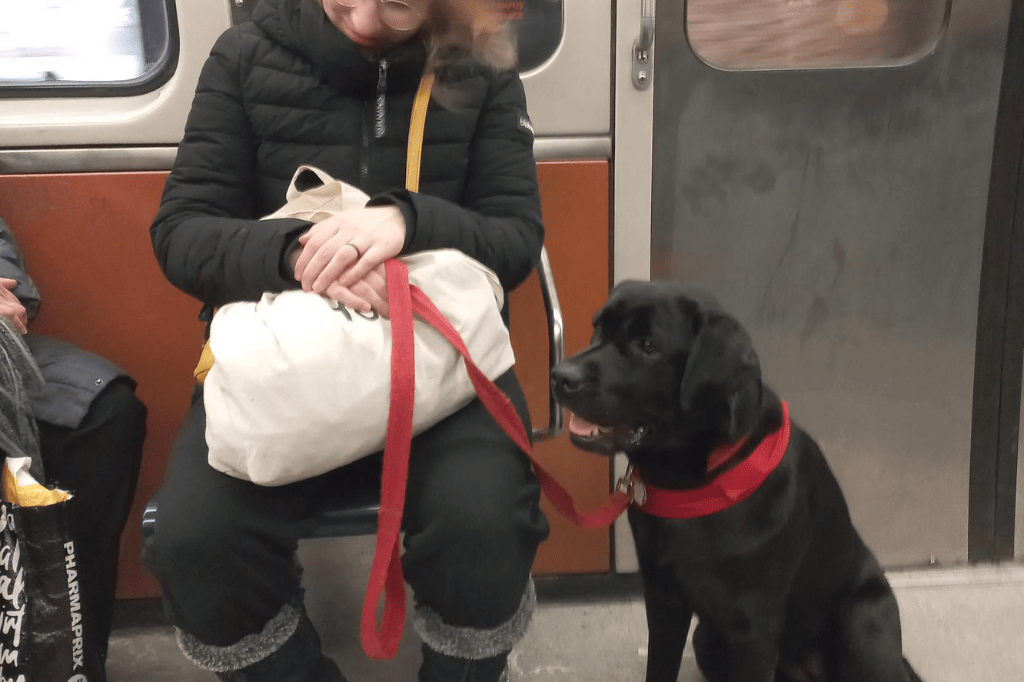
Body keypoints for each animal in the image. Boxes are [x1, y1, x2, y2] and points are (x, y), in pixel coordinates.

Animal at [552, 280, 929, 679]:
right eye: (598, 329)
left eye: (648, 345)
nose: (560, 376)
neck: (696, 482)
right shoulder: (663, 597)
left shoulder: (753, 628)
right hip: (706, 639)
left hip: (866, 622)